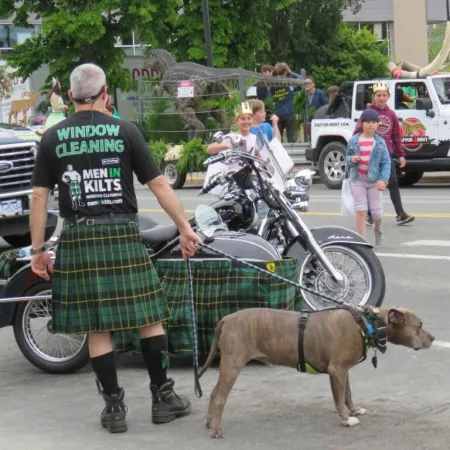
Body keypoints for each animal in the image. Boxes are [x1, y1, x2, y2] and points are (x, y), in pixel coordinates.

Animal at [199, 306, 434, 440]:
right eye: (419, 325)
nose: (432, 338)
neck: (367, 323)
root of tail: (227, 318)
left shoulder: (344, 371)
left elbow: (347, 394)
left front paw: (354, 410)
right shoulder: (337, 370)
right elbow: (338, 399)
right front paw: (346, 419)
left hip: (228, 366)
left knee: (213, 393)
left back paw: (209, 422)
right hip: (233, 365)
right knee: (220, 397)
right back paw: (217, 430)